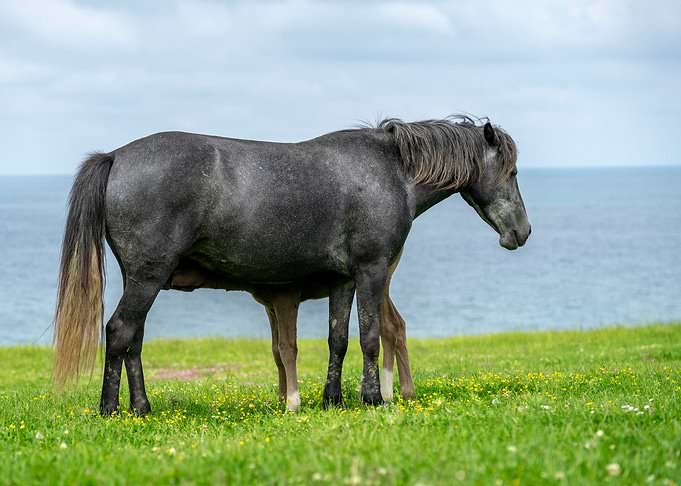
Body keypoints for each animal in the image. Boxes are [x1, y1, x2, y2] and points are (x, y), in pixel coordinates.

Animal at [53, 115, 530, 416]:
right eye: (511, 172)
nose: (522, 232)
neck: (390, 171)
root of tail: (115, 156)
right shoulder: (371, 271)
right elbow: (370, 337)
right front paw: (372, 398)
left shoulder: (342, 280)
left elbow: (338, 339)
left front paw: (333, 399)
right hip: (147, 279)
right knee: (119, 332)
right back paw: (111, 409)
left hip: (142, 280)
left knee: (132, 339)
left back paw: (141, 407)